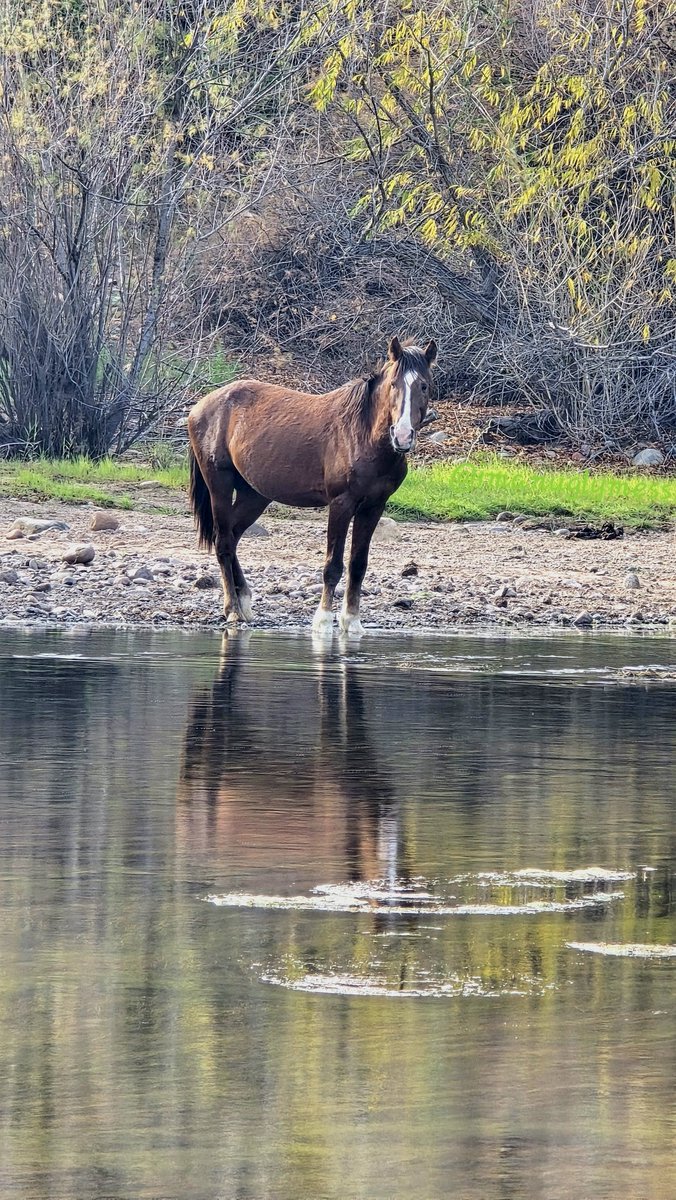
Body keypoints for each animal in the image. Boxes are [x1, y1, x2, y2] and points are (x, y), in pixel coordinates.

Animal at [186, 335, 437, 634]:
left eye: (423, 385)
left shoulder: (374, 507)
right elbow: (333, 566)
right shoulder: (341, 503)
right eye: (393, 384)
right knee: (223, 541)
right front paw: (324, 620)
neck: (363, 435)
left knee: (233, 536)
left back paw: (245, 602)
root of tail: (200, 406)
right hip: (220, 484)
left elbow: (358, 565)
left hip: (254, 495)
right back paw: (233, 610)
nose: (402, 436)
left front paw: (352, 621)